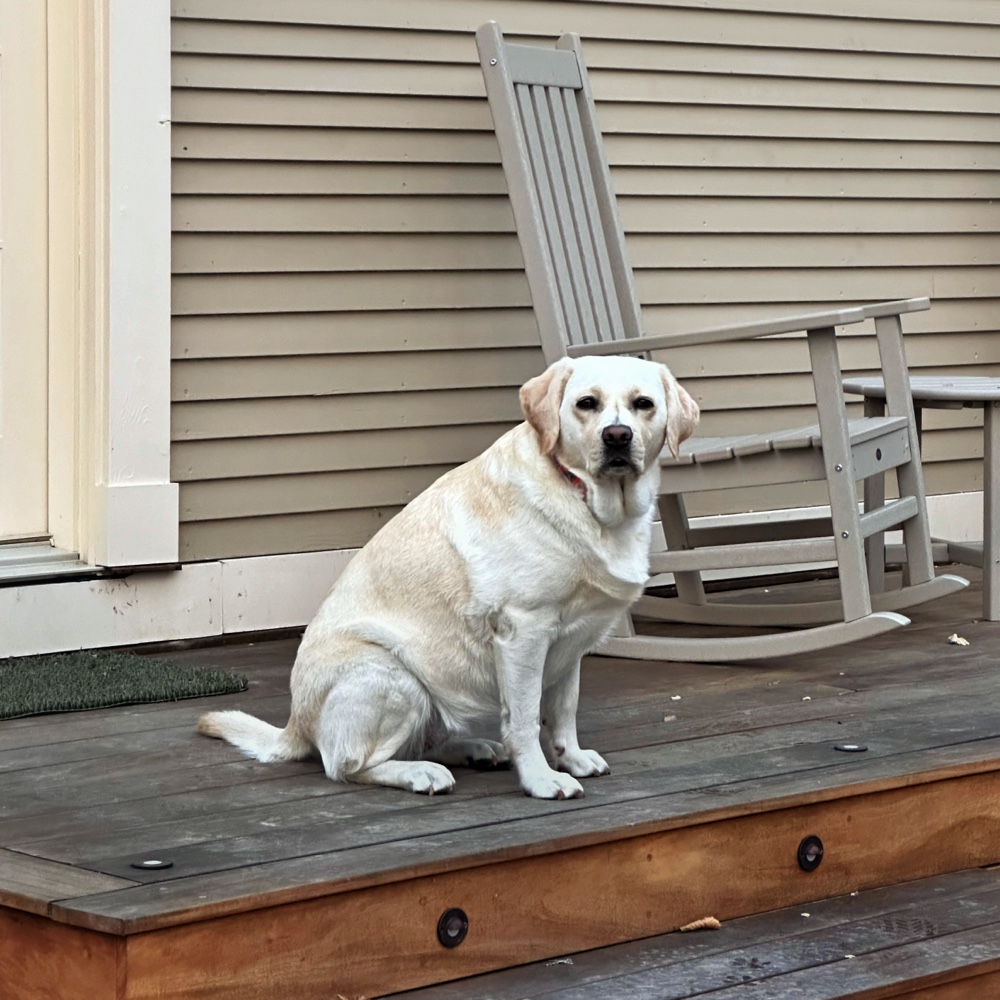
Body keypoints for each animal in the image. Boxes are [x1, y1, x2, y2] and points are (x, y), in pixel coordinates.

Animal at [195, 356, 696, 800]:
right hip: (394, 676)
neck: (587, 499)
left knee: (420, 741)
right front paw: (541, 779)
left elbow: (563, 708)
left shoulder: (571, 640)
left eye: (643, 404)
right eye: (586, 404)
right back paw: (420, 773)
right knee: (347, 764)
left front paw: (570, 758)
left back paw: (472, 750)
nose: (617, 437)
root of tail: (297, 723)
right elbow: (525, 718)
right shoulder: (524, 631)